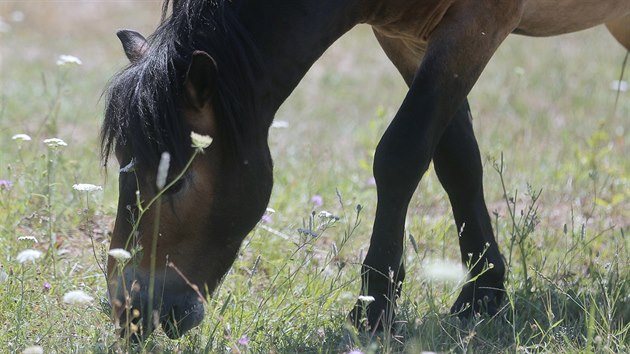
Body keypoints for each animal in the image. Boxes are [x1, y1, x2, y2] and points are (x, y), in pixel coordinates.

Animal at [103, 0, 630, 338]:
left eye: (178, 179)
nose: (131, 310)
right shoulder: (406, 38)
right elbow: (456, 159)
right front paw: (483, 293)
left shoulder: (477, 24)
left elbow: (401, 153)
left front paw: (375, 305)